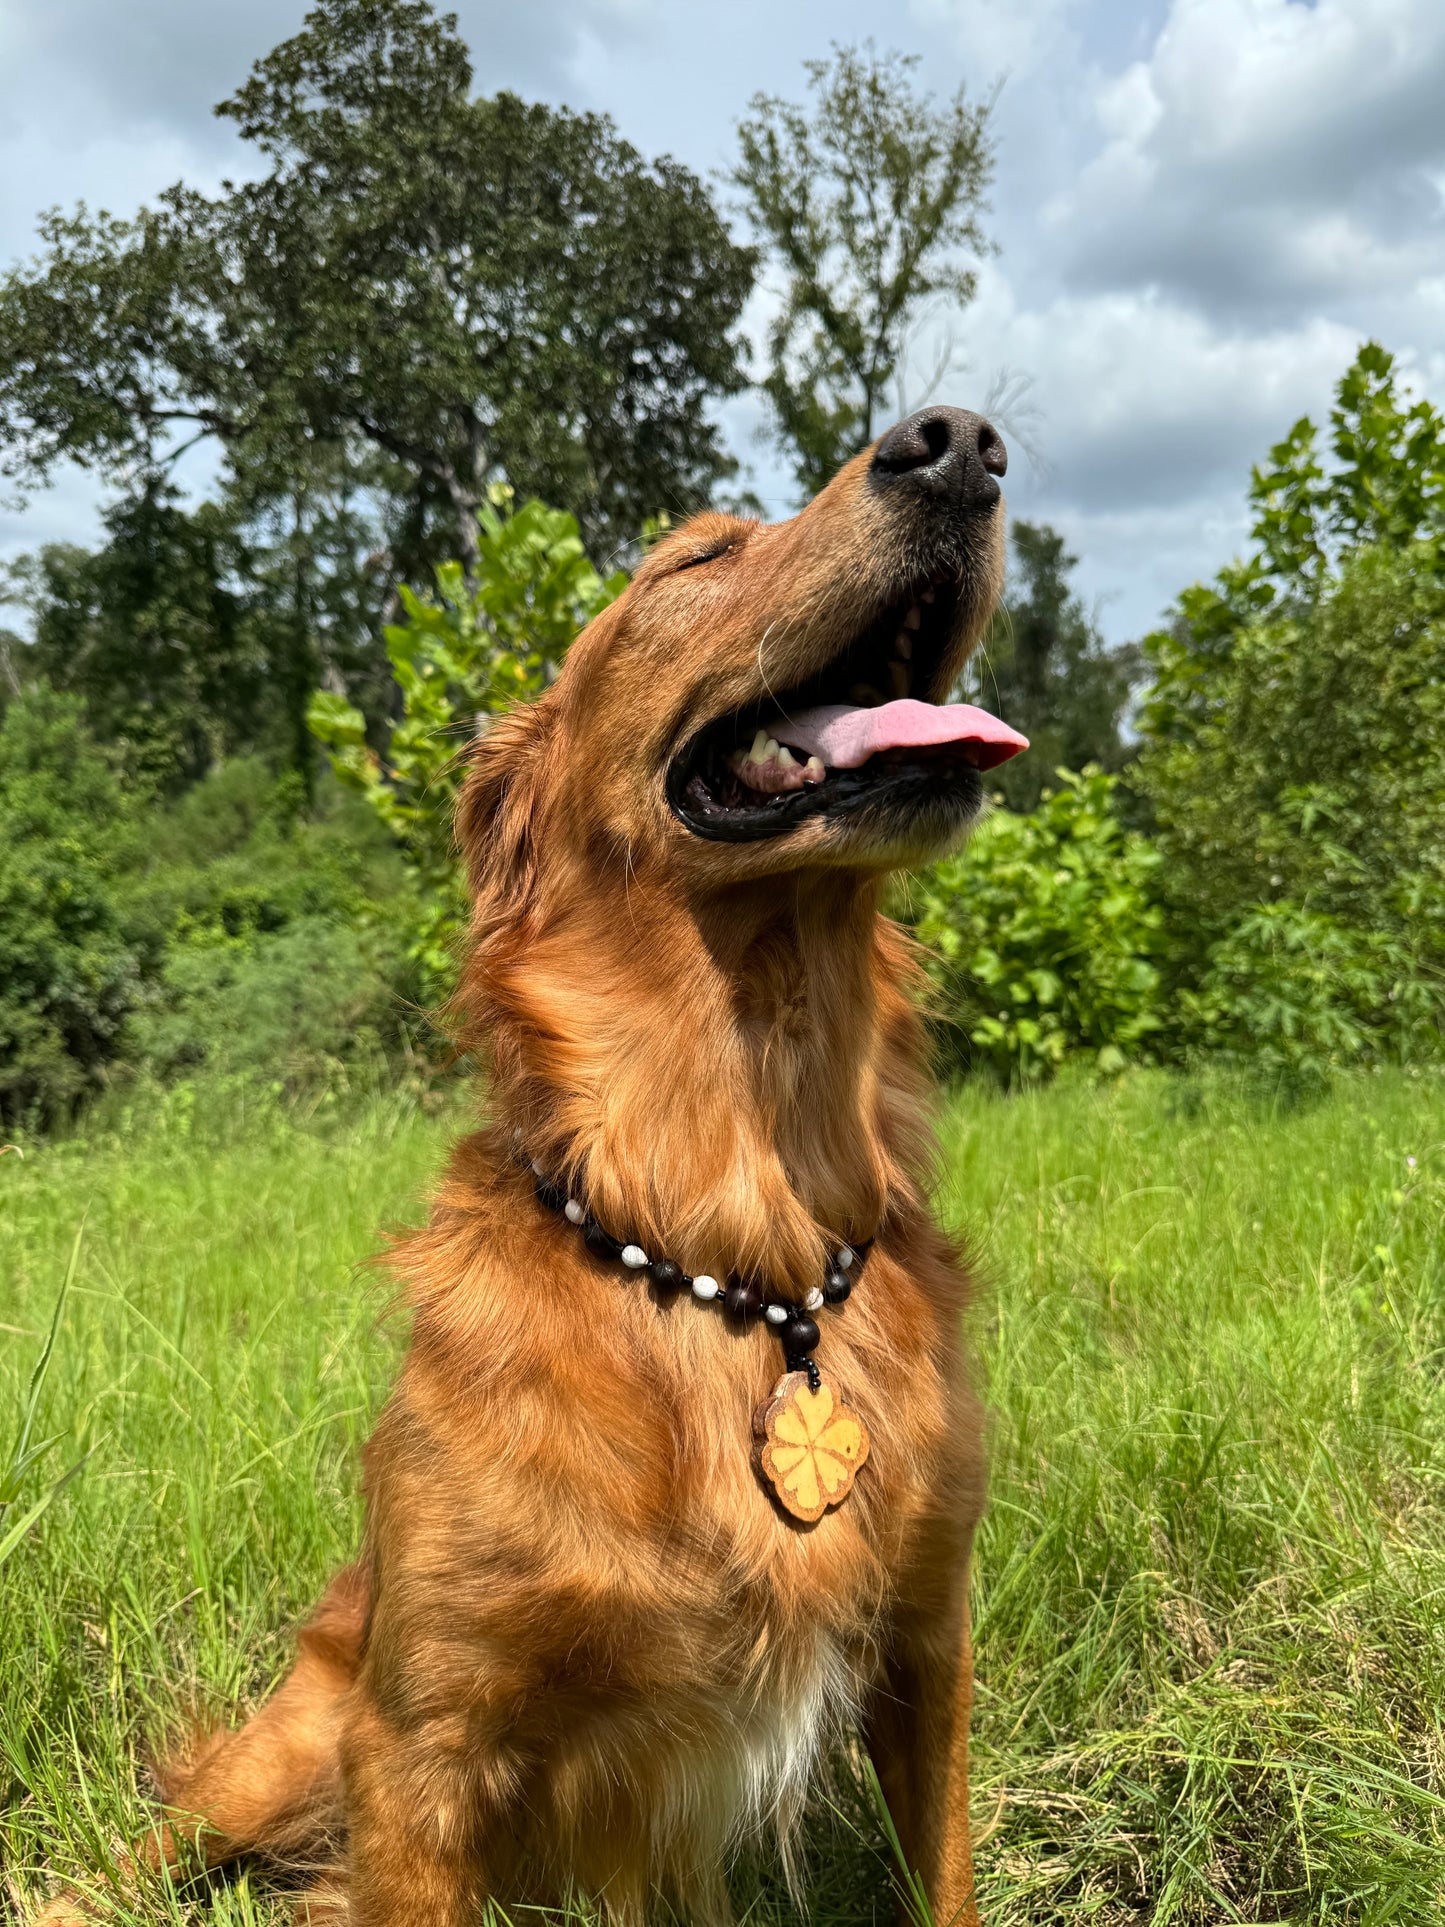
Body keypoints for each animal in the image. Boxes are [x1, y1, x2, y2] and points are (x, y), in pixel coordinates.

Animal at [36, 406, 1032, 1927]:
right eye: (693, 560)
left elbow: (948, 1878)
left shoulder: (926, 1643)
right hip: (284, 1748)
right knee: (122, 1861)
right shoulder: (421, 1744)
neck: (729, 1242)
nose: (962, 441)